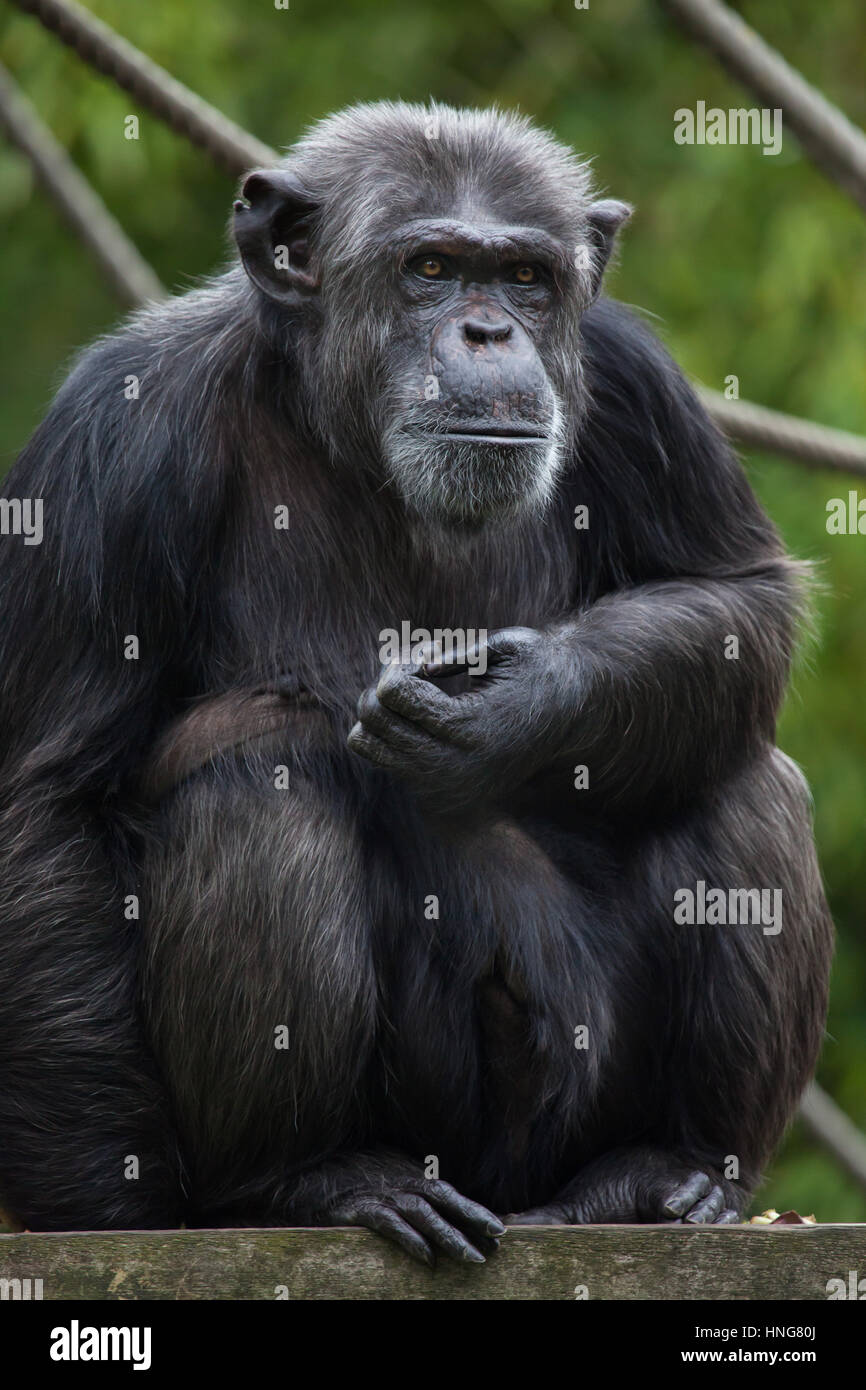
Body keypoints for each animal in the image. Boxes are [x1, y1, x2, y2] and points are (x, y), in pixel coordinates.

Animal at [0, 102, 834, 1267]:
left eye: (525, 278)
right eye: (430, 269)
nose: (488, 334)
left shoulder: (634, 380)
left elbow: (732, 595)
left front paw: (518, 705)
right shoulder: (114, 436)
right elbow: (52, 795)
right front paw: (106, 1207)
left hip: (568, 1124)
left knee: (737, 771)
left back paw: (664, 1169)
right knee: (261, 763)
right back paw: (311, 1178)